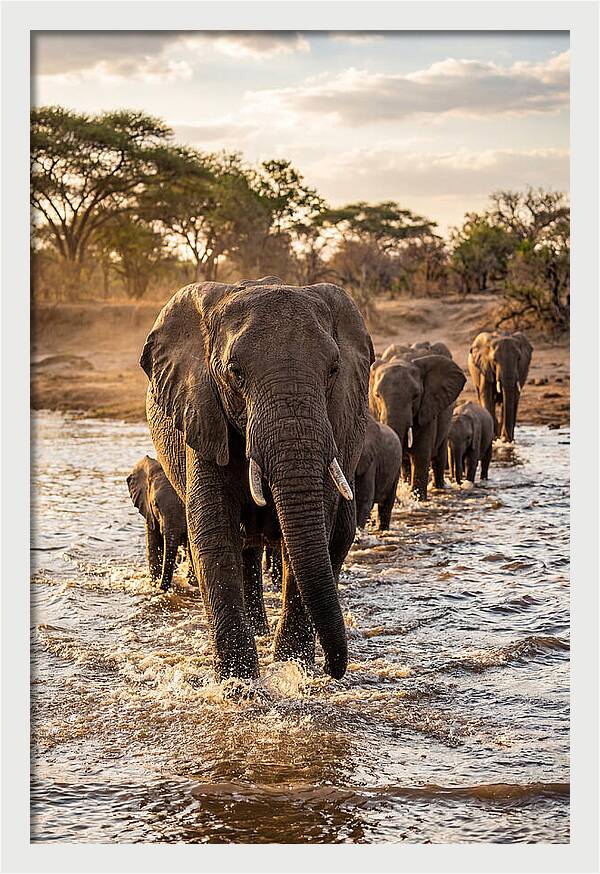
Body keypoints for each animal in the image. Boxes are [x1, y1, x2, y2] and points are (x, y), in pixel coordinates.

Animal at [127, 455, 196, 591]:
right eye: (155, 505)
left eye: (185, 505)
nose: (161, 587)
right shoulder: (148, 512)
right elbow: (153, 547)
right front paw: (154, 584)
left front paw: (192, 581)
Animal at [140, 276, 373, 682]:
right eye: (235, 372)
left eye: (333, 370)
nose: (334, 669)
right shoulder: (202, 411)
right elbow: (214, 532)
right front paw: (239, 684)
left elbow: (312, 532)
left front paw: (294, 670)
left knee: (334, 538)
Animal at [369, 342, 466, 500]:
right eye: (377, 395)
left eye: (415, 396)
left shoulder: (427, 406)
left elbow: (420, 457)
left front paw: (418, 499)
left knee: (439, 454)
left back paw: (439, 488)